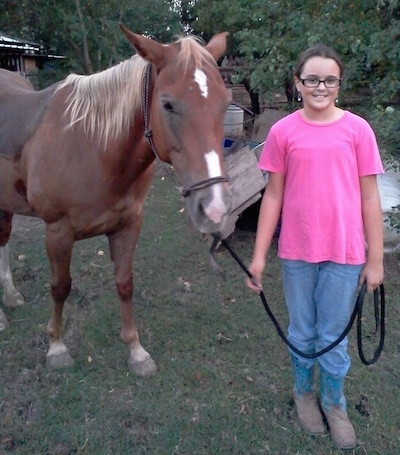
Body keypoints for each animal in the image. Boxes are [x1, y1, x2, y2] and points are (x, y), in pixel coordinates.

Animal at [0, 23, 231, 376]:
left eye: (224, 103)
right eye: (167, 105)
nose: (214, 207)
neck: (93, 146)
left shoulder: (128, 225)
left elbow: (124, 284)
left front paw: (136, 351)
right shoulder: (57, 231)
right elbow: (60, 286)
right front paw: (56, 347)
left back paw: (10, 296)